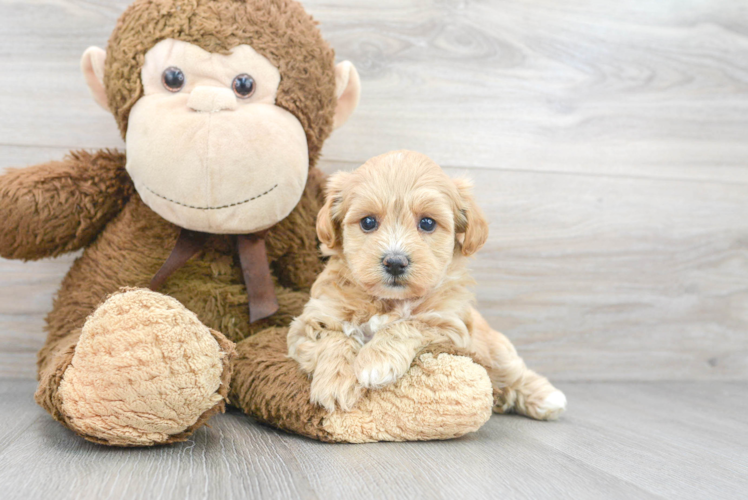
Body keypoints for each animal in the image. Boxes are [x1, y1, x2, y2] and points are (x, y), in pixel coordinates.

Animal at [288, 150, 568, 420]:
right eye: (368, 222)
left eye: (427, 223)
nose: (395, 262)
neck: (389, 301)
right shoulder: (311, 320)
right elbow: (335, 338)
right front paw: (335, 382)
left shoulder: (449, 324)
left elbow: (408, 325)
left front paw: (375, 361)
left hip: (496, 350)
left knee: (514, 373)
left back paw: (547, 398)